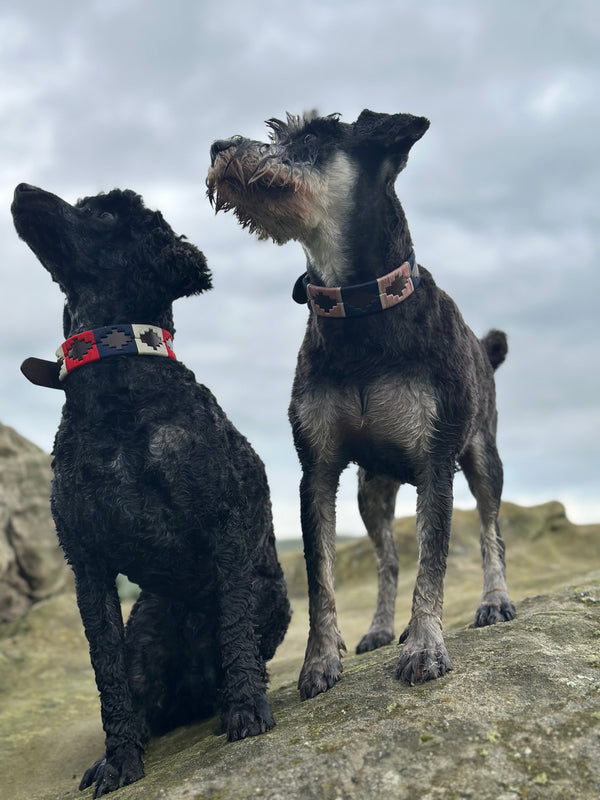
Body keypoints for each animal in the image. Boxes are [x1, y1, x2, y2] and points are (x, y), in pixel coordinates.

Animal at [9, 184, 290, 796]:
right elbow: (107, 672)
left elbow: (235, 627)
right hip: (148, 629)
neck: (117, 395)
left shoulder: (224, 522)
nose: (20, 190)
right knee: (143, 695)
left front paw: (246, 710)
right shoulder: (86, 562)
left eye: (102, 212)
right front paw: (119, 759)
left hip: (272, 598)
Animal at [207, 108, 516, 700]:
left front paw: (425, 647)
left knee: (490, 531)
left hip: (483, 456)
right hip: (372, 489)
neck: (360, 309)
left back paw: (494, 602)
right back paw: (380, 628)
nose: (218, 146)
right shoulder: (319, 469)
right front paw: (320, 662)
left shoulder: (436, 461)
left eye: (313, 136)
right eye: (277, 131)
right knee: (387, 560)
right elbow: (322, 577)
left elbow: (434, 561)